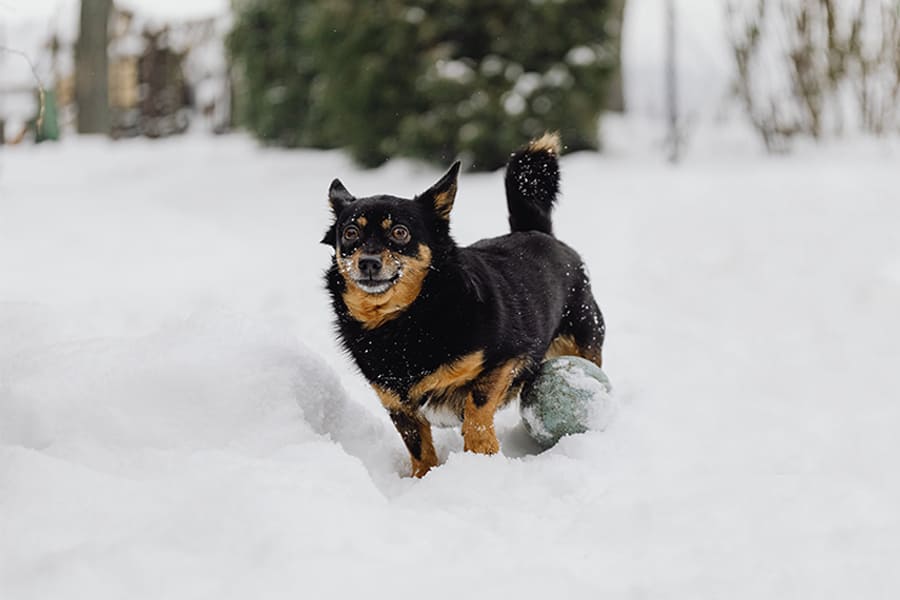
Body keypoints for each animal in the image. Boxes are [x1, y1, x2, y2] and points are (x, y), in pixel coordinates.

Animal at [322, 134, 604, 476]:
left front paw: (482, 455)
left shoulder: (506, 359)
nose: (368, 262)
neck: (407, 319)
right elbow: (418, 447)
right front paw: (423, 479)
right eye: (350, 233)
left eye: (400, 232)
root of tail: (537, 231)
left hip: (584, 340)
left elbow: (476, 408)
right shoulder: (396, 404)